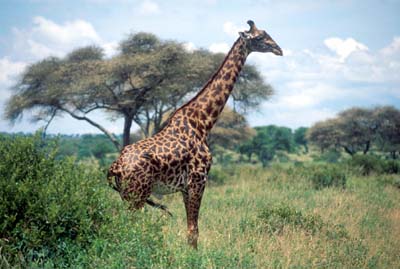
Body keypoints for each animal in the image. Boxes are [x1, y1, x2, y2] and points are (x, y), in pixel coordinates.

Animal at [108, 19, 282, 248]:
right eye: (261, 37)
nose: (278, 49)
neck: (202, 122)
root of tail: (115, 166)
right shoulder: (198, 180)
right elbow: (193, 231)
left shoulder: (185, 187)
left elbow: (190, 229)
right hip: (137, 194)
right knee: (128, 228)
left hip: (127, 195)